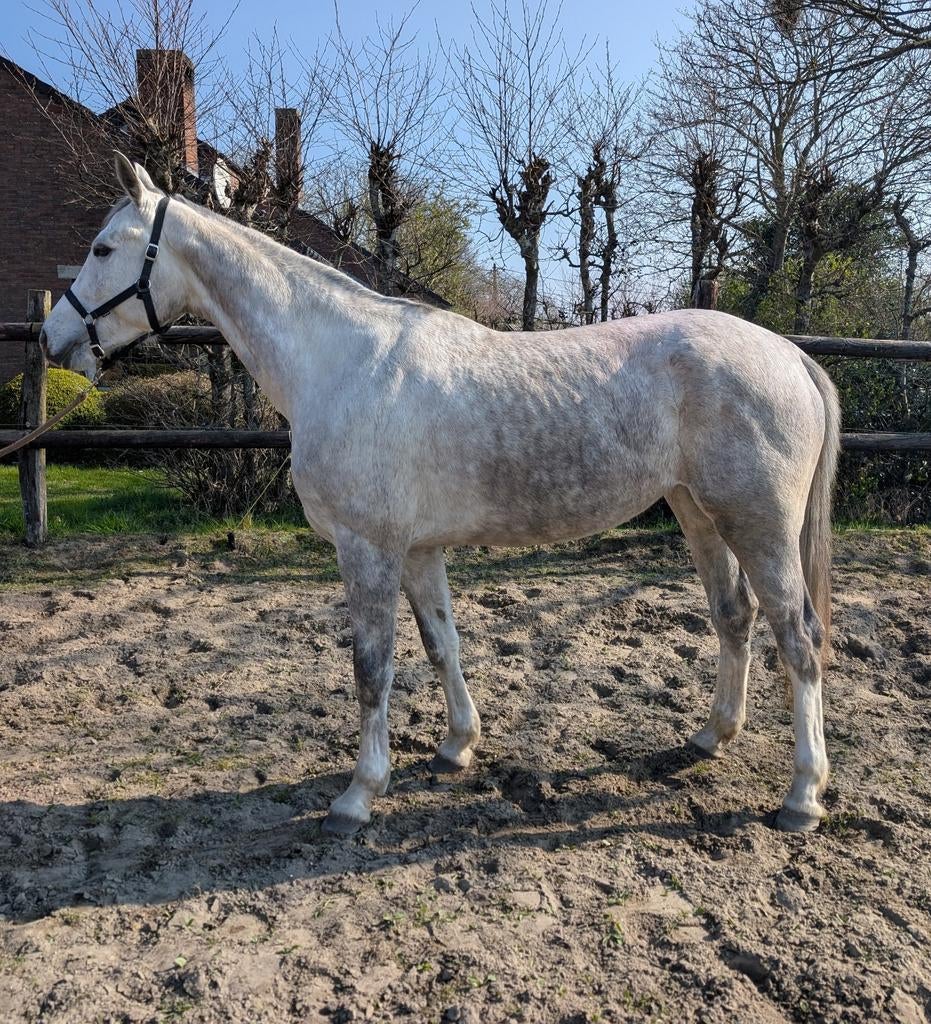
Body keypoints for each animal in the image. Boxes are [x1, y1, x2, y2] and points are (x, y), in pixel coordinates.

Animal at [41, 154, 840, 836]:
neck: (339, 361)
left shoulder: (368, 549)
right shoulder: (419, 550)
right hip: (698, 513)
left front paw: (358, 795)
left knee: (797, 638)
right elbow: (440, 644)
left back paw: (802, 795)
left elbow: (372, 667)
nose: (52, 340)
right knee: (733, 616)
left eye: (104, 249)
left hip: (759, 524)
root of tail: (788, 354)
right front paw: (458, 745)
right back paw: (711, 735)